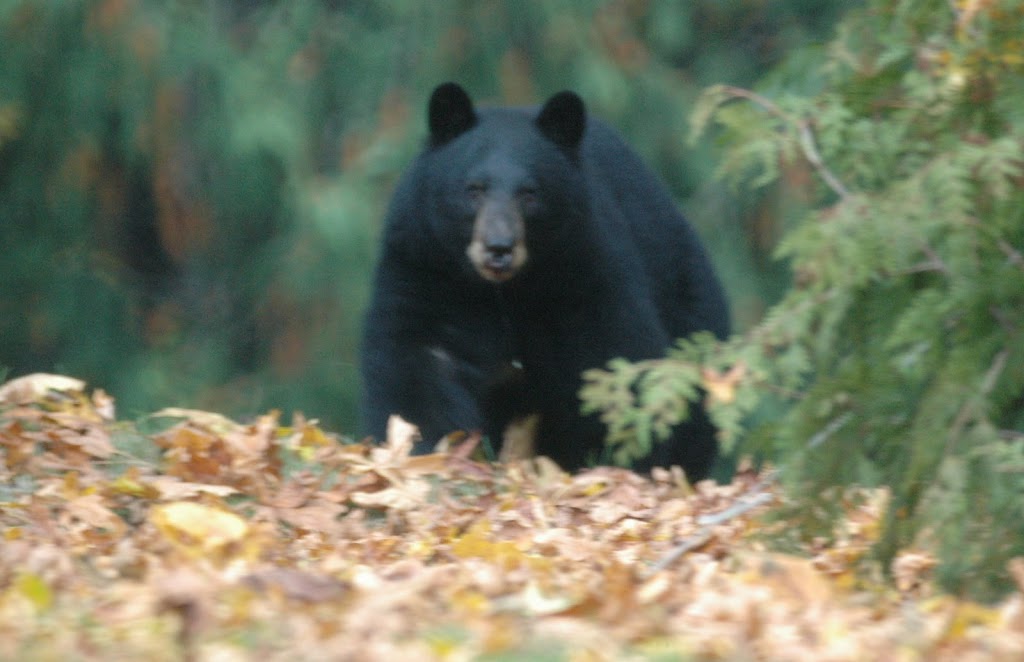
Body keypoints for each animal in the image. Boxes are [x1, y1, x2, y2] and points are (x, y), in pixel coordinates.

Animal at [360, 83, 729, 479]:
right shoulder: (425, 265)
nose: (499, 248)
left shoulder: (583, 270)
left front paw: (610, 460)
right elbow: (419, 361)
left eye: (529, 193)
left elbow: (610, 357)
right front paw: (425, 450)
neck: (504, 292)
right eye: (473, 189)